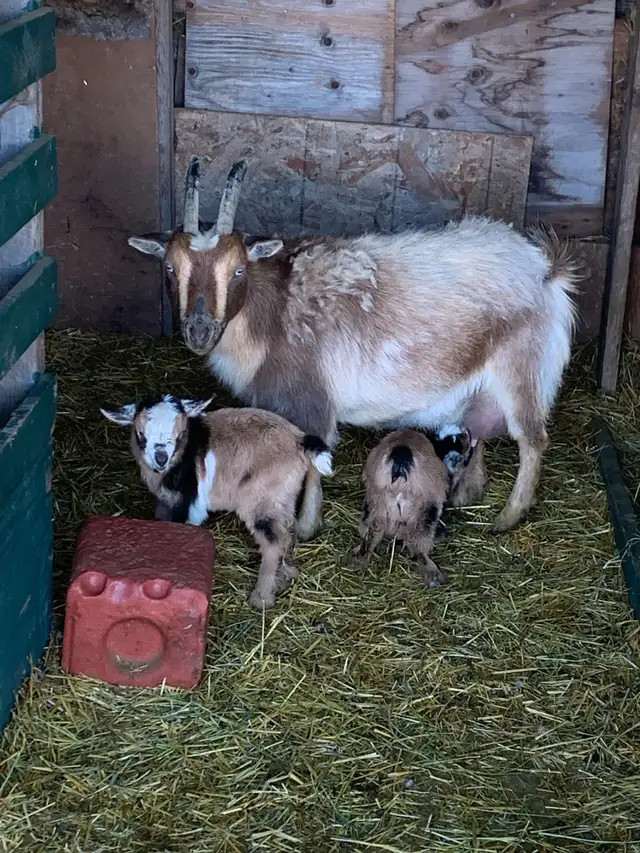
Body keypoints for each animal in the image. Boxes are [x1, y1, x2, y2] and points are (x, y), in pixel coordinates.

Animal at [100, 394, 333, 610]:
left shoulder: (191, 504)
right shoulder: (167, 502)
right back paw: (286, 576)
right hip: (283, 496)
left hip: (261, 499)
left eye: (180, 435)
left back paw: (262, 598)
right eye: (141, 434)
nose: (161, 458)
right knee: (287, 530)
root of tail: (300, 440)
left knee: (273, 540)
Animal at [127, 157, 579, 539]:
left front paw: (305, 527)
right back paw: (470, 491)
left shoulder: (312, 400)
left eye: (238, 270)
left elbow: (313, 458)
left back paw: (508, 517)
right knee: (479, 429)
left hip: (524, 368)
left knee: (533, 440)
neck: (274, 311)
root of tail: (545, 268)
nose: (199, 331)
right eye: (171, 267)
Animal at [350, 429, 452, 588]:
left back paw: (359, 558)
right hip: (424, 509)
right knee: (417, 542)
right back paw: (433, 575)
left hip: (375, 503)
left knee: (371, 533)